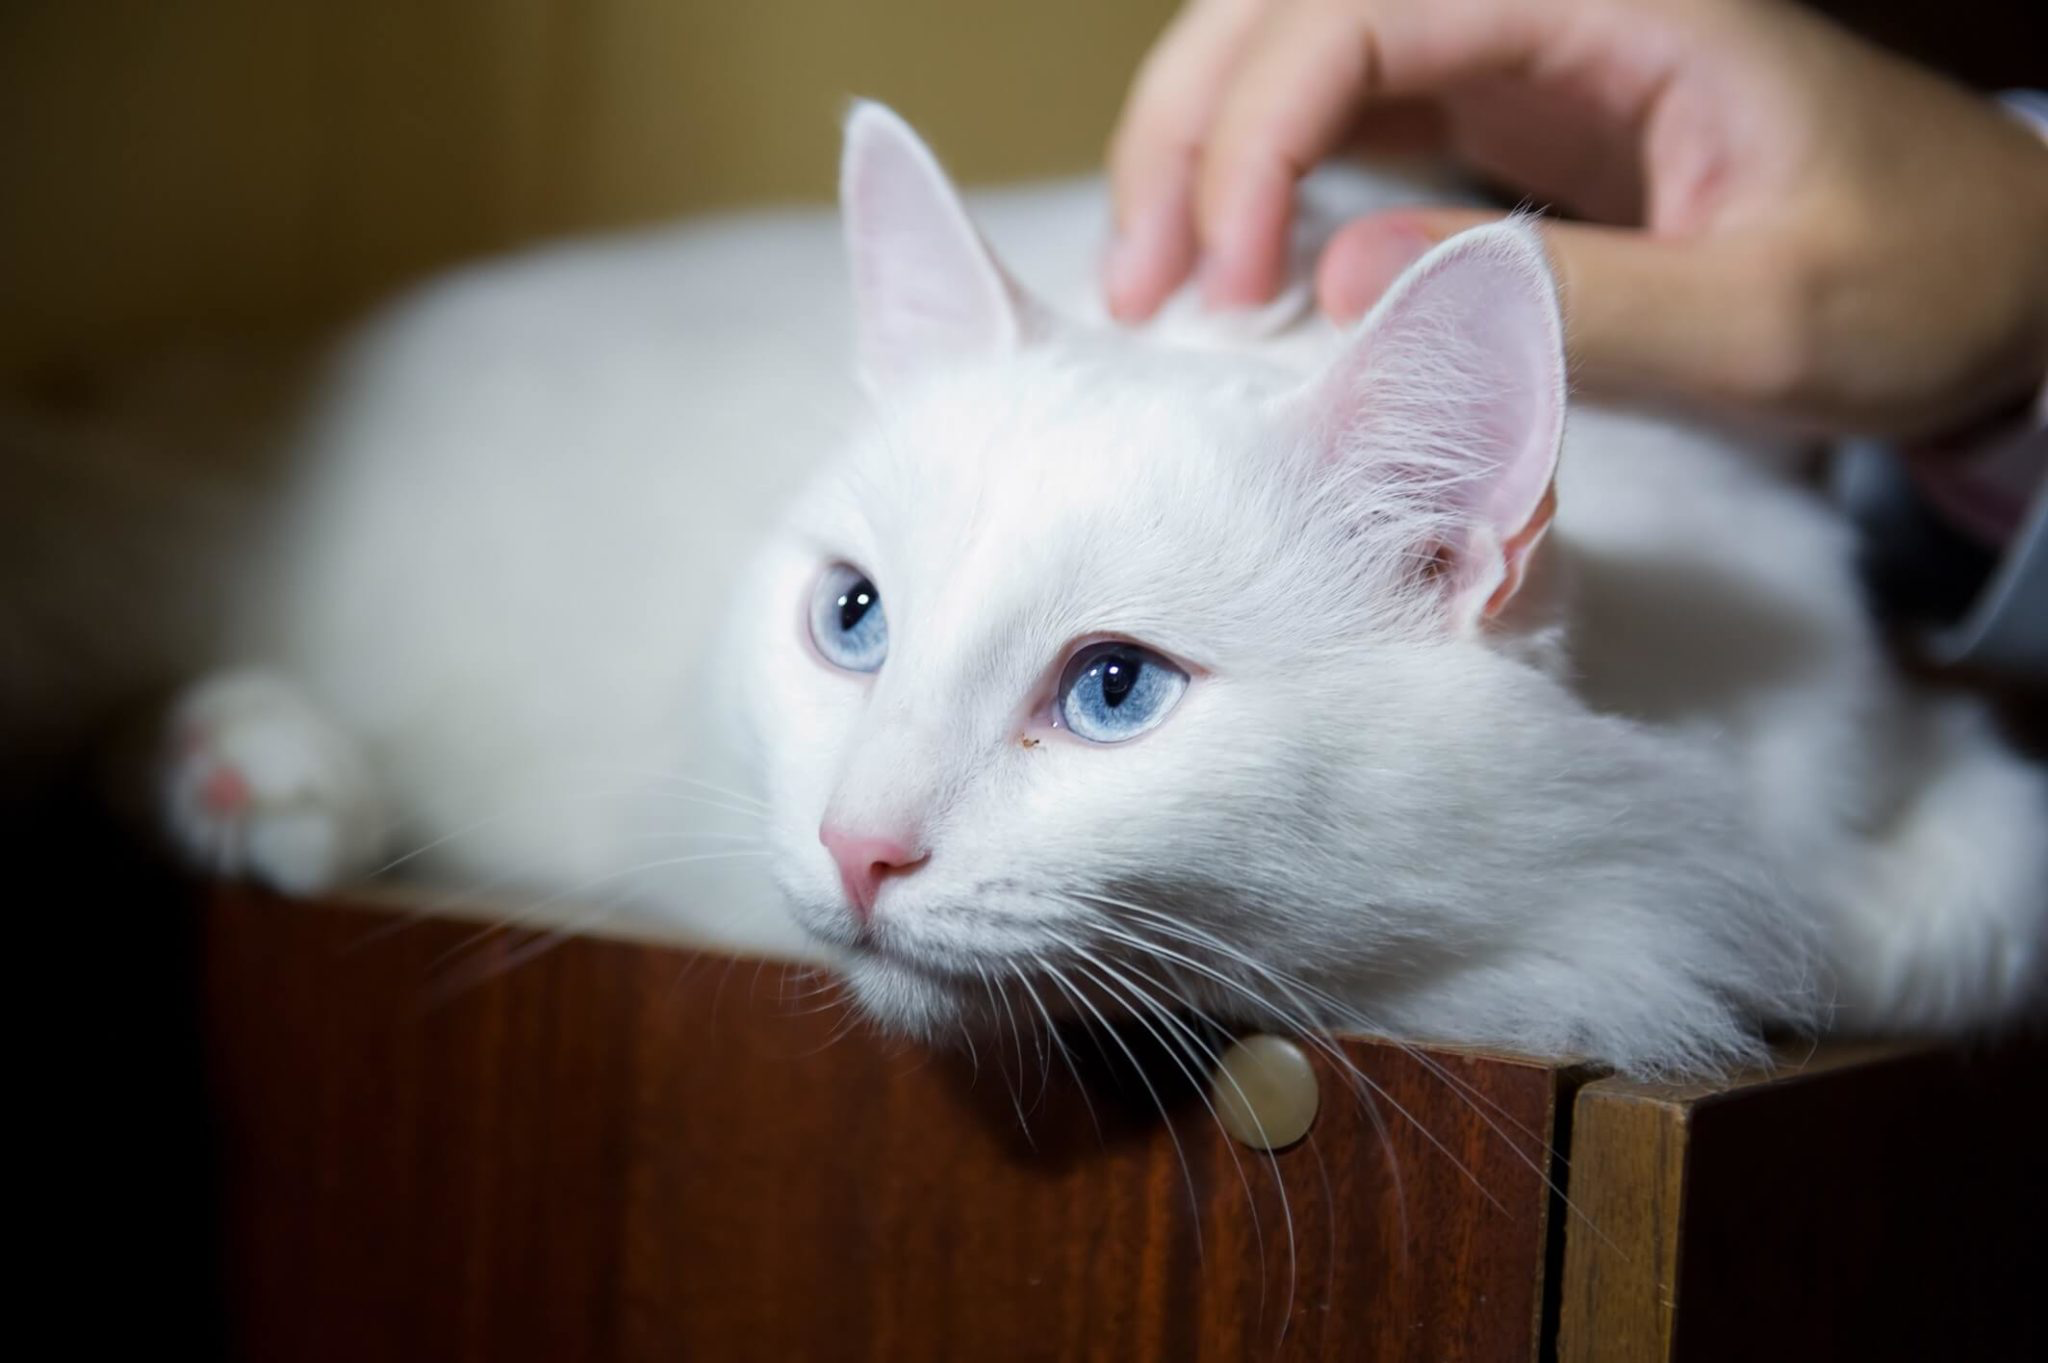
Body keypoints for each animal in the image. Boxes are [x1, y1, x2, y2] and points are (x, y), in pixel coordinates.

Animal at [151, 103, 2039, 1072]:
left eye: (1114, 689)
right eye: (852, 620)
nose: (855, 845)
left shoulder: (1881, 754)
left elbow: (1952, 908)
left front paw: (1826, 938)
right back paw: (249, 766)